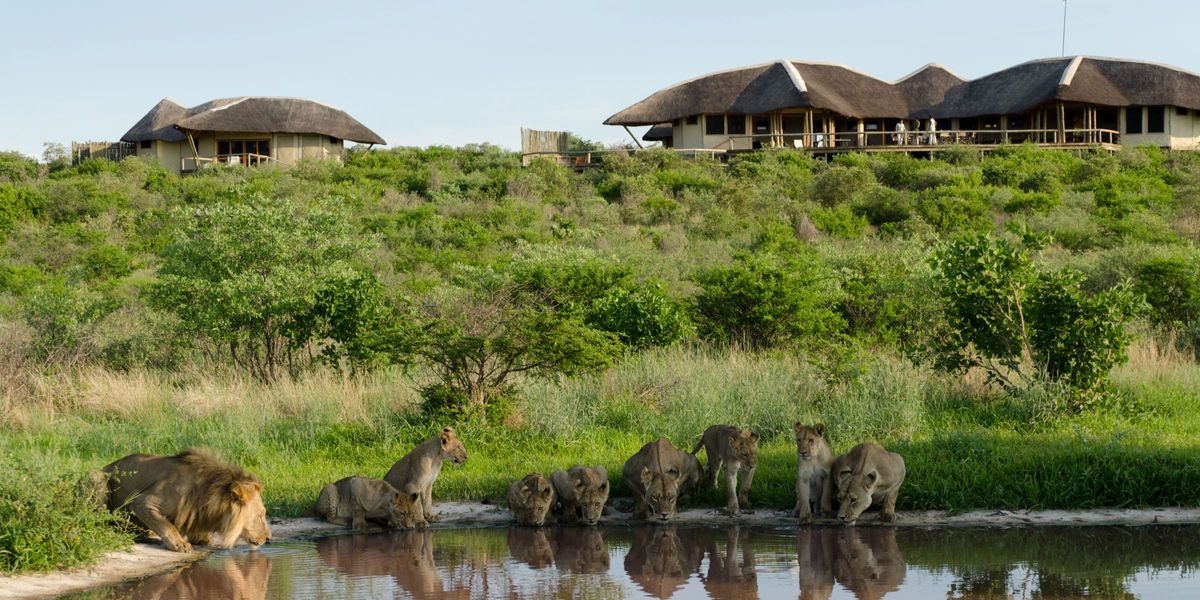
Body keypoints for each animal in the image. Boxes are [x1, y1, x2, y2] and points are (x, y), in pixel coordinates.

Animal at [93, 451, 272, 552]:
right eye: (260, 516)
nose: (269, 539)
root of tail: (106, 466)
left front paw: (201, 539)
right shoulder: (143, 502)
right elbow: (166, 525)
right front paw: (179, 544)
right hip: (97, 477)